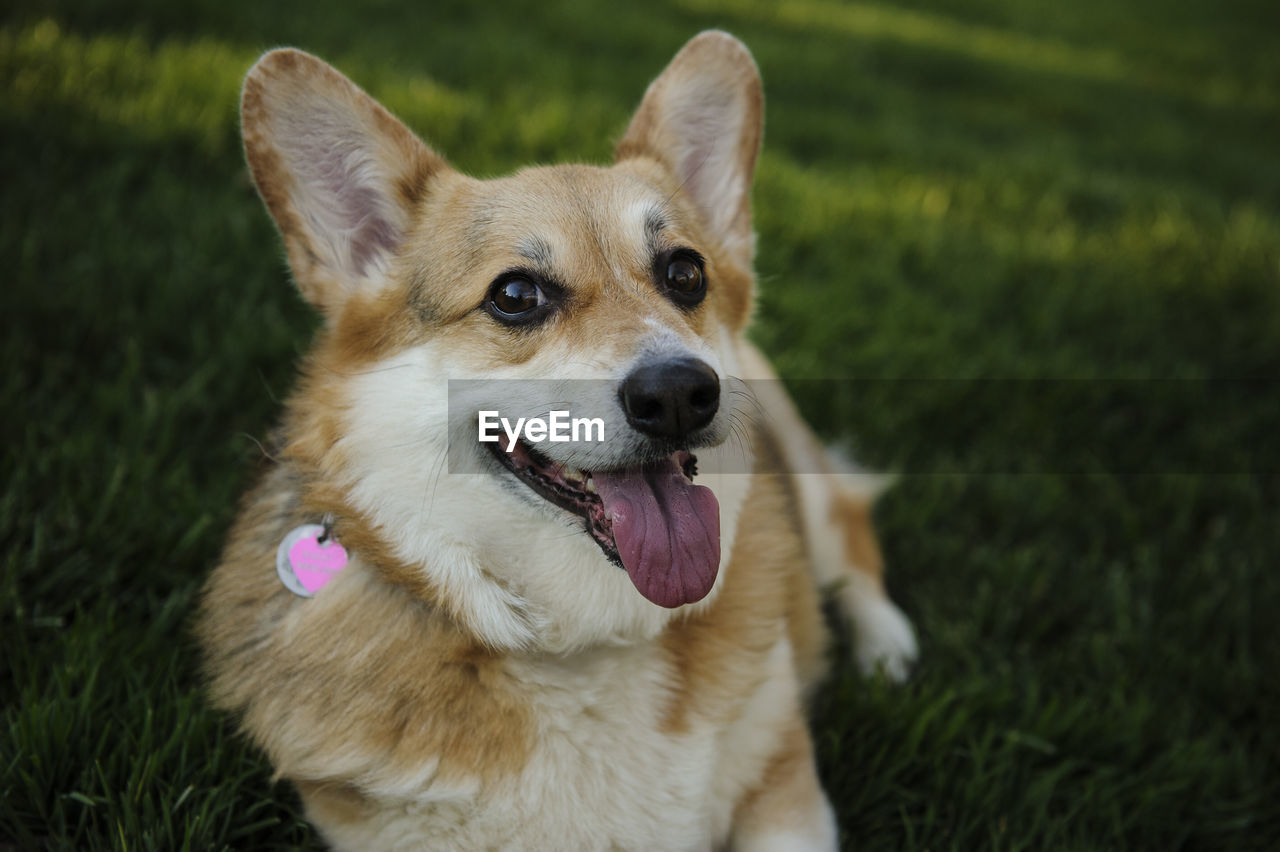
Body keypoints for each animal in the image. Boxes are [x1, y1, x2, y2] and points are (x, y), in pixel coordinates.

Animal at [197, 29, 921, 844]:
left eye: (687, 274)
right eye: (515, 295)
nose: (679, 395)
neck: (586, 644)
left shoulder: (785, 788)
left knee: (850, 541)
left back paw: (888, 649)